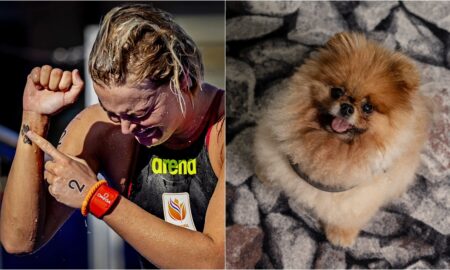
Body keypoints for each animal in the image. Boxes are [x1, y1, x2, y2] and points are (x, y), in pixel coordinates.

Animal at [255, 32, 430, 247]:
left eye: (368, 107)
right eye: (337, 91)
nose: (346, 107)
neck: (329, 145)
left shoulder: (356, 198)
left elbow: (346, 216)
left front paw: (341, 236)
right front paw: (265, 176)